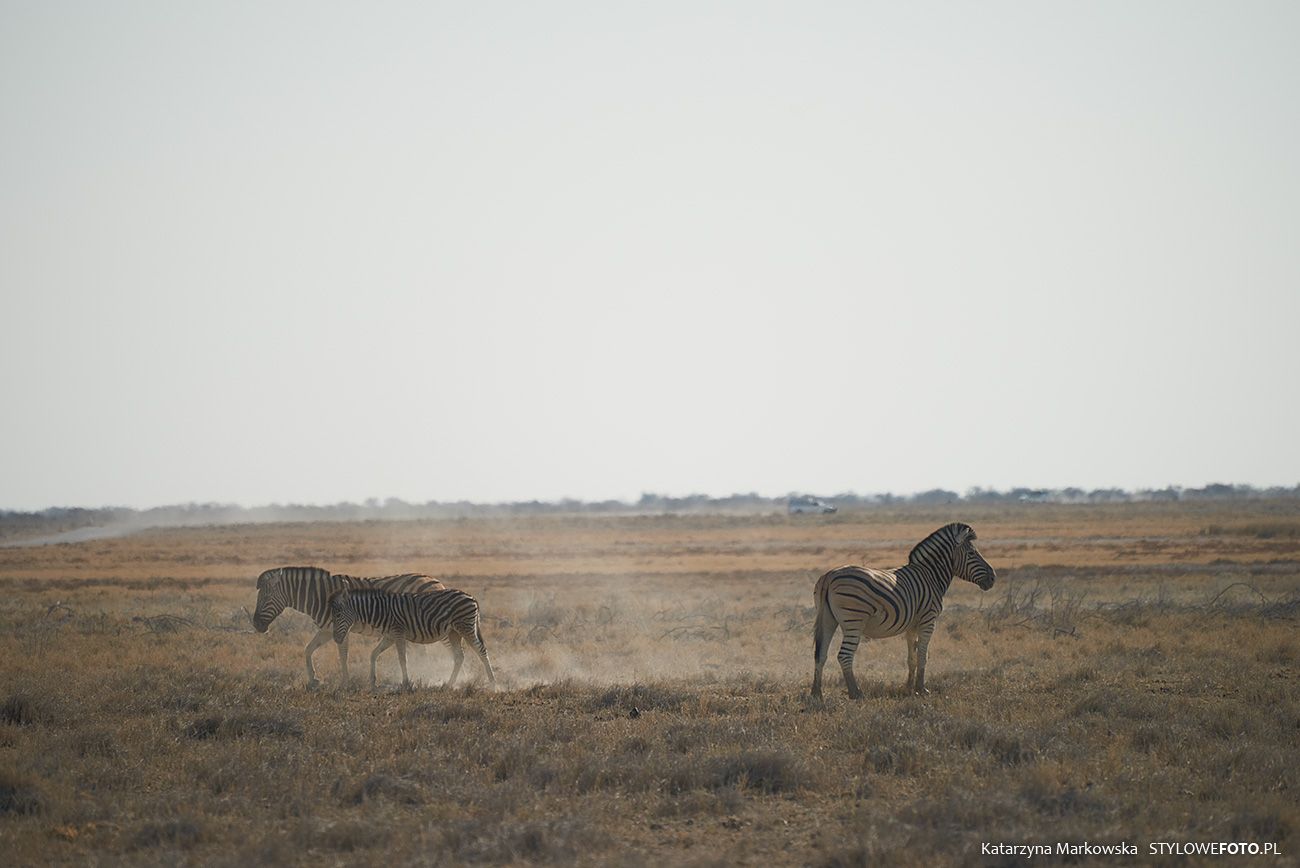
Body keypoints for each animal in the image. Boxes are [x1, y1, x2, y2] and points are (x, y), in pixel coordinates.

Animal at [251, 566, 446, 688]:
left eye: (265, 598)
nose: (255, 625)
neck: (320, 595)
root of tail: (435, 580)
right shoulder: (327, 629)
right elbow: (308, 649)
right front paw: (313, 679)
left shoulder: (339, 627)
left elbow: (343, 656)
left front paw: (345, 683)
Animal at [329, 586, 496, 689]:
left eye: (338, 615)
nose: (336, 639)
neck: (380, 611)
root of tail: (471, 597)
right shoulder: (389, 636)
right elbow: (373, 654)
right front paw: (372, 681)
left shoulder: (398, 633)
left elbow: (402, 658)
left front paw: (406, 683)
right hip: (453, 632)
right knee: (459, 656)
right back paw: (448, 685)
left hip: (466, 627)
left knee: (482, 651)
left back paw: (493, 684)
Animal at [811, 523, 995, 700]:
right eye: (972, 553)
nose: (993, 578)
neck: (931, 575)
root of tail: (829, 576)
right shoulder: (928, 620)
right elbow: (923, 656)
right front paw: (922, 689)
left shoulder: (911, 625)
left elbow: (911, 658)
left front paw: (909, 688)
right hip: (854, 620)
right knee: (844, 656)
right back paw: (856, 694)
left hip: (827, 619)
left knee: (820, 654)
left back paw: (816, 693)